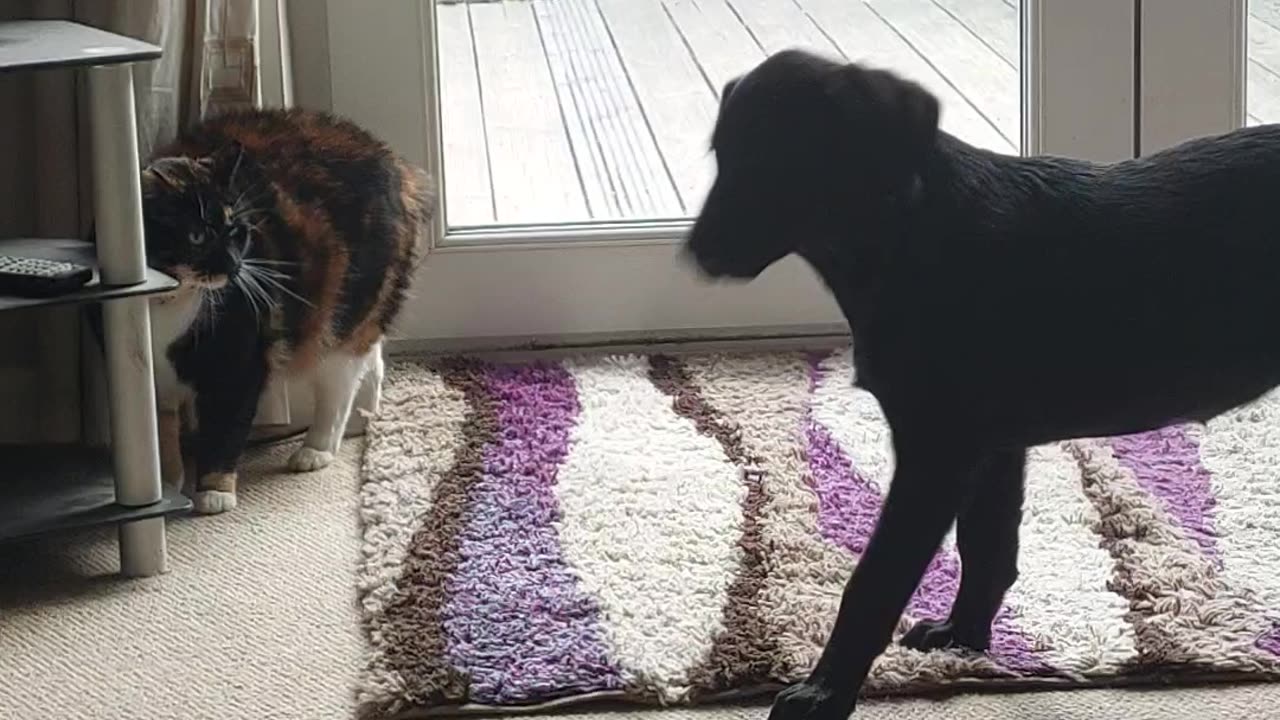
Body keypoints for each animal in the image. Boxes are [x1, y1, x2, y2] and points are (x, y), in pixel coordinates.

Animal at [126, 105, 432, 509]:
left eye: (236, 231)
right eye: (196, 236)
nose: (234, 267)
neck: (166, 303)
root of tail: (395, 164)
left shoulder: (238, 361)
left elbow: (223, 429)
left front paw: (214, 492)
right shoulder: (153, 384)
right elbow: (161, 438)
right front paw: (168, 486)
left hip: (342, 313)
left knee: (340, 380)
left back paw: (317, 449)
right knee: (372, 358)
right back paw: (359, 422)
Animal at [691, 49, 1280, 717]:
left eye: (782, 161)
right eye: (723, 155)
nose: (696, 252)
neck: (907, 233)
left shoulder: (937, 452)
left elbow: (876, 580)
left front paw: (824, 693)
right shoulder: (992, 445)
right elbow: (987, 545)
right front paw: (965, 636)